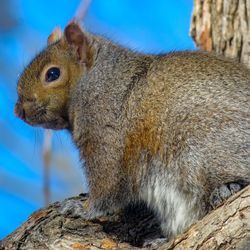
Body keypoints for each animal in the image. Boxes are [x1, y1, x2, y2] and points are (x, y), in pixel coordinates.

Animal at [14, 22, 250, 240]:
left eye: (53, 73)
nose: (18, 111)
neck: (99, 80)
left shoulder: (106, 135)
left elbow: (107, 185)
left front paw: (83, 209)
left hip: (204, 148)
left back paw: (227, 187)